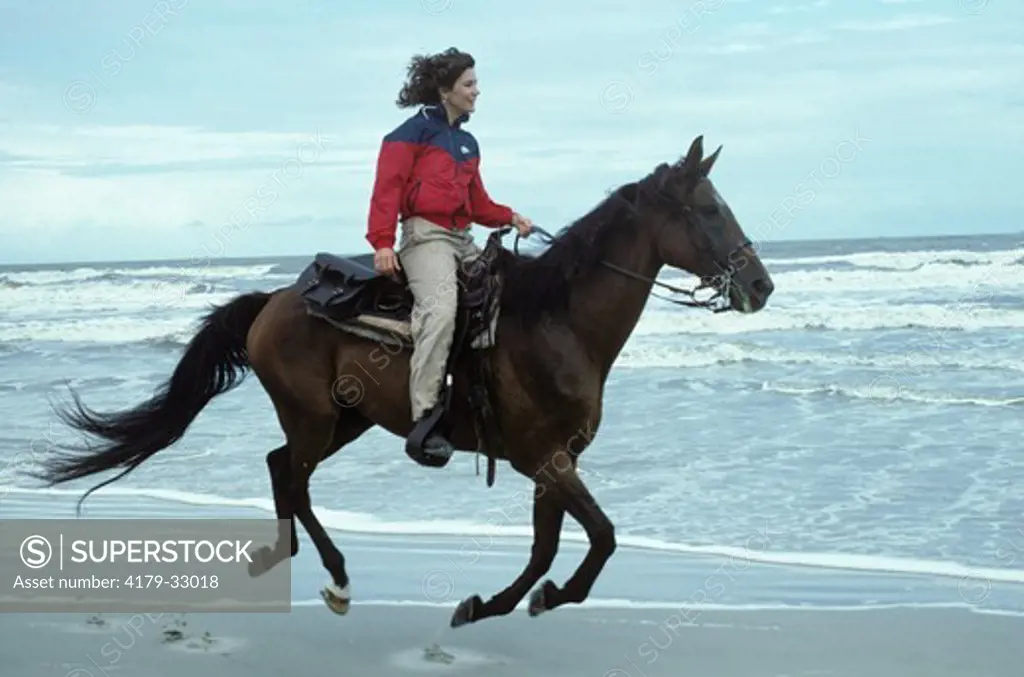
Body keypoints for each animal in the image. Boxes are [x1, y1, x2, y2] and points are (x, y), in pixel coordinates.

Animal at [29, 136, 774, 626]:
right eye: (710, 209)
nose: (762, 285)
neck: (556, 319)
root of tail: (273, 300)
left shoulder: (556, 462)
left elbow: (547, 547)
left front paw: (493, 604)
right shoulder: (545, 458)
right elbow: (602, 537)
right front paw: (537, 598)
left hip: (345, 419)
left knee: (278, 468)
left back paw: (289, 557)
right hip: (314, 418)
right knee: (292, 476)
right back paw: (334, 576)